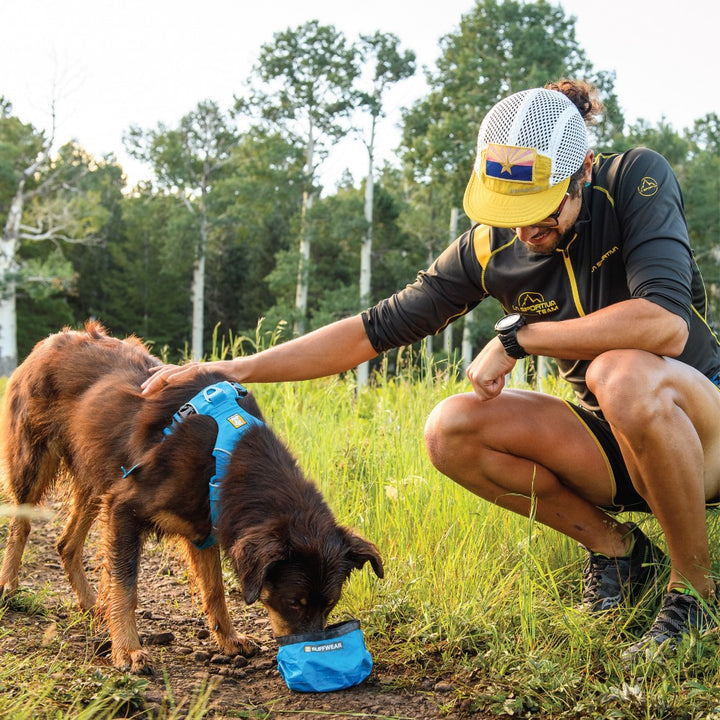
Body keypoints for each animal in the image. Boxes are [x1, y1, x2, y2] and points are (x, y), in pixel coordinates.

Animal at [0, 324, 382, 672]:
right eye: (294, 602)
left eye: (329, 604)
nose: (312, 655)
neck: (227, 452)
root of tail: (51, 340)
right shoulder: (124, 508)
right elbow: (126, 586)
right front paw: (128, 650)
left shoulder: (204, 526)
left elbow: (215, 589)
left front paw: (228, 639)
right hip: (34, 462)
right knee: (20, 528)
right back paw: (9, 587)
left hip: (97, 476)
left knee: (66, 543)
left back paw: (92, 604)